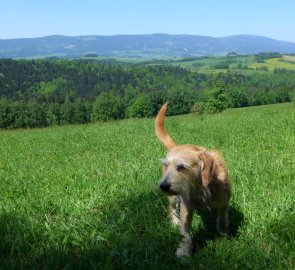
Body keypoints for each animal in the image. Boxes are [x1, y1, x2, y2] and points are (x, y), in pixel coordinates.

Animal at [156, 103, 232, 258]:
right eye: (166, 166)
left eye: (181, 167)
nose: (163, 186)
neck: (200, 188)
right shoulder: (186, 206)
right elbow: (184, 231)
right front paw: (184, 249)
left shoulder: (224, 203)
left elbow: (222, 219)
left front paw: (223, 235)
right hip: (173, 198)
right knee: (171, 208)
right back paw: (174, 221)